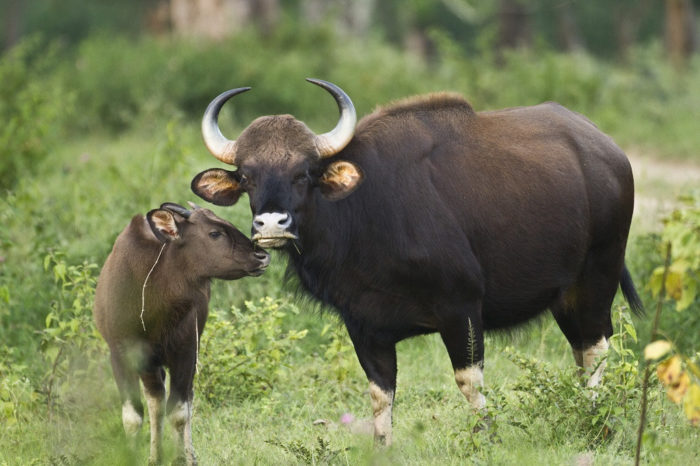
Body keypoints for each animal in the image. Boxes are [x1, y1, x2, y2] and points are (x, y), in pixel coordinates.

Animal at [93, 202, 268, 464]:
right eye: (214, 233)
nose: (262, 255)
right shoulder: (122, 354)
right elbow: (133, 416)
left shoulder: (185, 351)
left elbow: (178, 411)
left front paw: (181, 458)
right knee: (156, 400)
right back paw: (155, 456)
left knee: (183, 397)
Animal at [190, 80, 640, 444]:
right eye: (247, 176)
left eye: (303, 173)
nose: (271, 224)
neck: (365, 216)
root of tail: (611, 153)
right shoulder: (364, 325)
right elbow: (380, 394)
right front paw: (382, 447)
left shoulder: (462, 309)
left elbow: (469, 382)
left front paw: (485, 438)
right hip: (565, 296)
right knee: (581, 351)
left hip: (598, 276)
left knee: (597, 348)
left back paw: (593, 421)